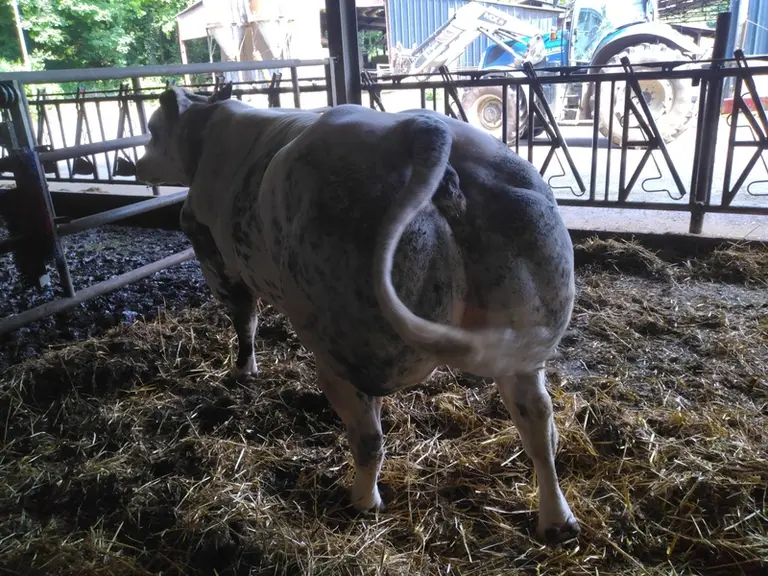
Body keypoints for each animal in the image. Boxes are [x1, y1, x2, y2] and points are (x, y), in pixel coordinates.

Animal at [135, 83, 578, 545]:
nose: (134, 164)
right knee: (539, 423)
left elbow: (245, 322)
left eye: (153, 128)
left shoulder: (217, 262)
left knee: (368, 436)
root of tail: (422, 129)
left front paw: (243, 371)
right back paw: (557, 520)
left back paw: (361, 501)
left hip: (344, 349)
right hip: (524, 339)